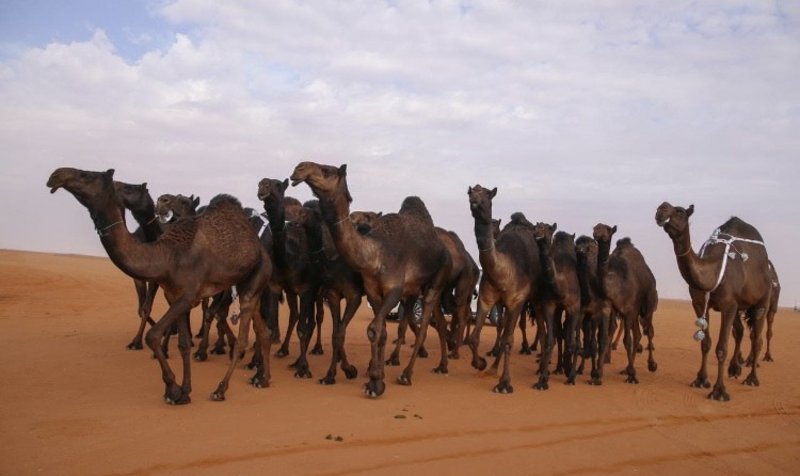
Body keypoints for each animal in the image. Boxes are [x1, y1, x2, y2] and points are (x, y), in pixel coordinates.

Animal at [50, 168, 276, 406]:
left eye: (87, 175)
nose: (56, 175)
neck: (168, 255)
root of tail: (262, 251)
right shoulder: (174, 295)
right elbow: (183, 343)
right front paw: (185, 391)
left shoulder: (188, 296)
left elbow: (153, 335)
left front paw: (172, 389)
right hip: (247, 285)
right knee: (263, 331)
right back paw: (263, 378)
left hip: (255, 278)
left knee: (243, 338)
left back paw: (221, 389)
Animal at [290, 164, 454, 398]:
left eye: (327, 170)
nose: (299, 168)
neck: (373, 254)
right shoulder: (365, 292)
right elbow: (367, 331)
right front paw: (341, 376)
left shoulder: (382, 291)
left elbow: (372, 329)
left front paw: (373, 380)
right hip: (415, 291)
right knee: (434, 323)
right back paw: (442, 365)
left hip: (435, 283)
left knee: (423, 327)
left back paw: (406, 374)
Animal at [466, 186, 552, 394]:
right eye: (470, 192)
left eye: (487, 194)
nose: (474, 201)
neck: (504, 271)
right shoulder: (487, 298)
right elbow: (475, 337)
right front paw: (481, 363)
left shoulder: (517, 301)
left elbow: (508, 341)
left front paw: (504, 383)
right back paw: (493, 368)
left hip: (537, 299)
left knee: (542, 332)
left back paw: (542, 372)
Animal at [532, 222, 580, 384]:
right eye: (536, 226)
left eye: (548, 228)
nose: (537, 232)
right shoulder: (549, 305)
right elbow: (549, 340)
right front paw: (542, 379)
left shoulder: (574, 307)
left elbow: (572, 341)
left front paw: (571, 375)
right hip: (557, 309)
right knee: (558, 333)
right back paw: (558, 367)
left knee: (569, 335)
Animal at [656, 203, 776, 400]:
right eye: (663, 207)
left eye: (680, 211)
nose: (661, 209)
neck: (713, 271)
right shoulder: (699, 303)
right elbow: (705, 344)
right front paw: (701, 380)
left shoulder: (728, 305)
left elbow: (721, 348)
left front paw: (719, 391)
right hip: (739, 306)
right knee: (740, 331)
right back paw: (734, 369)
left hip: (763, 299)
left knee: (756, 339)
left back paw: (751, 378)